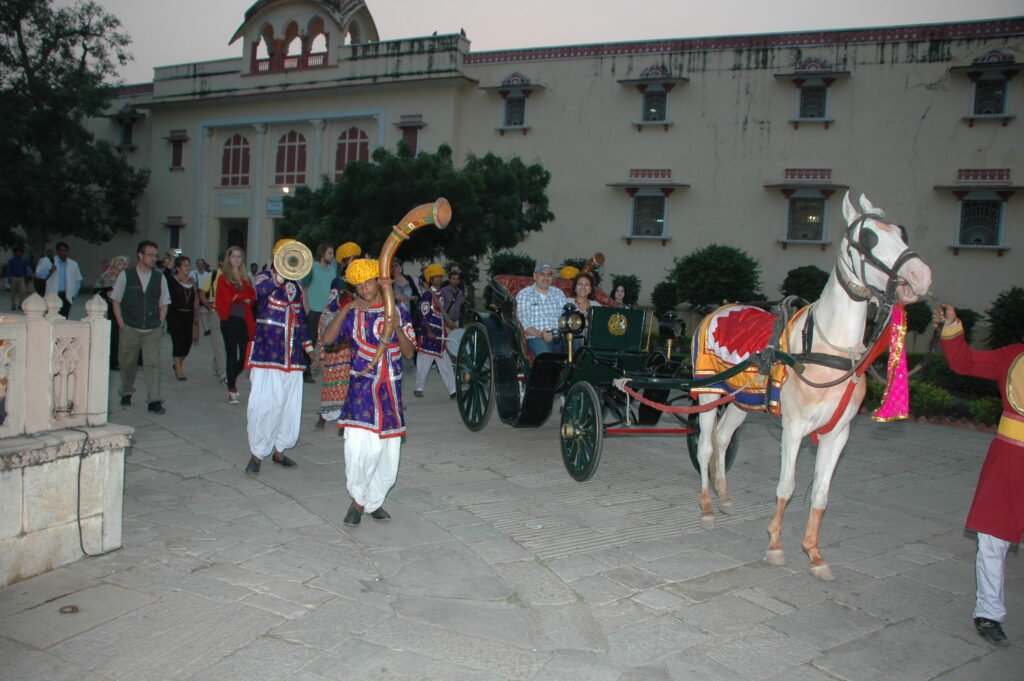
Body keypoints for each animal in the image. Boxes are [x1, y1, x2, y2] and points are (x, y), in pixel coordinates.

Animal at [692, 191, 933, 577]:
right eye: (868, 239)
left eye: (902, 232)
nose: (919, 275)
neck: (828, 349)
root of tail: (719, 308)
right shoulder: (793, 428)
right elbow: (787, 486)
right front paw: (775, 544)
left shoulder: (838, 433)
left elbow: (820, 492)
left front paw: (814, 553)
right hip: (707, 391)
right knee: (704, 446)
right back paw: (706, 507)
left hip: (743, 399)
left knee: (723, 438)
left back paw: (724, 496)